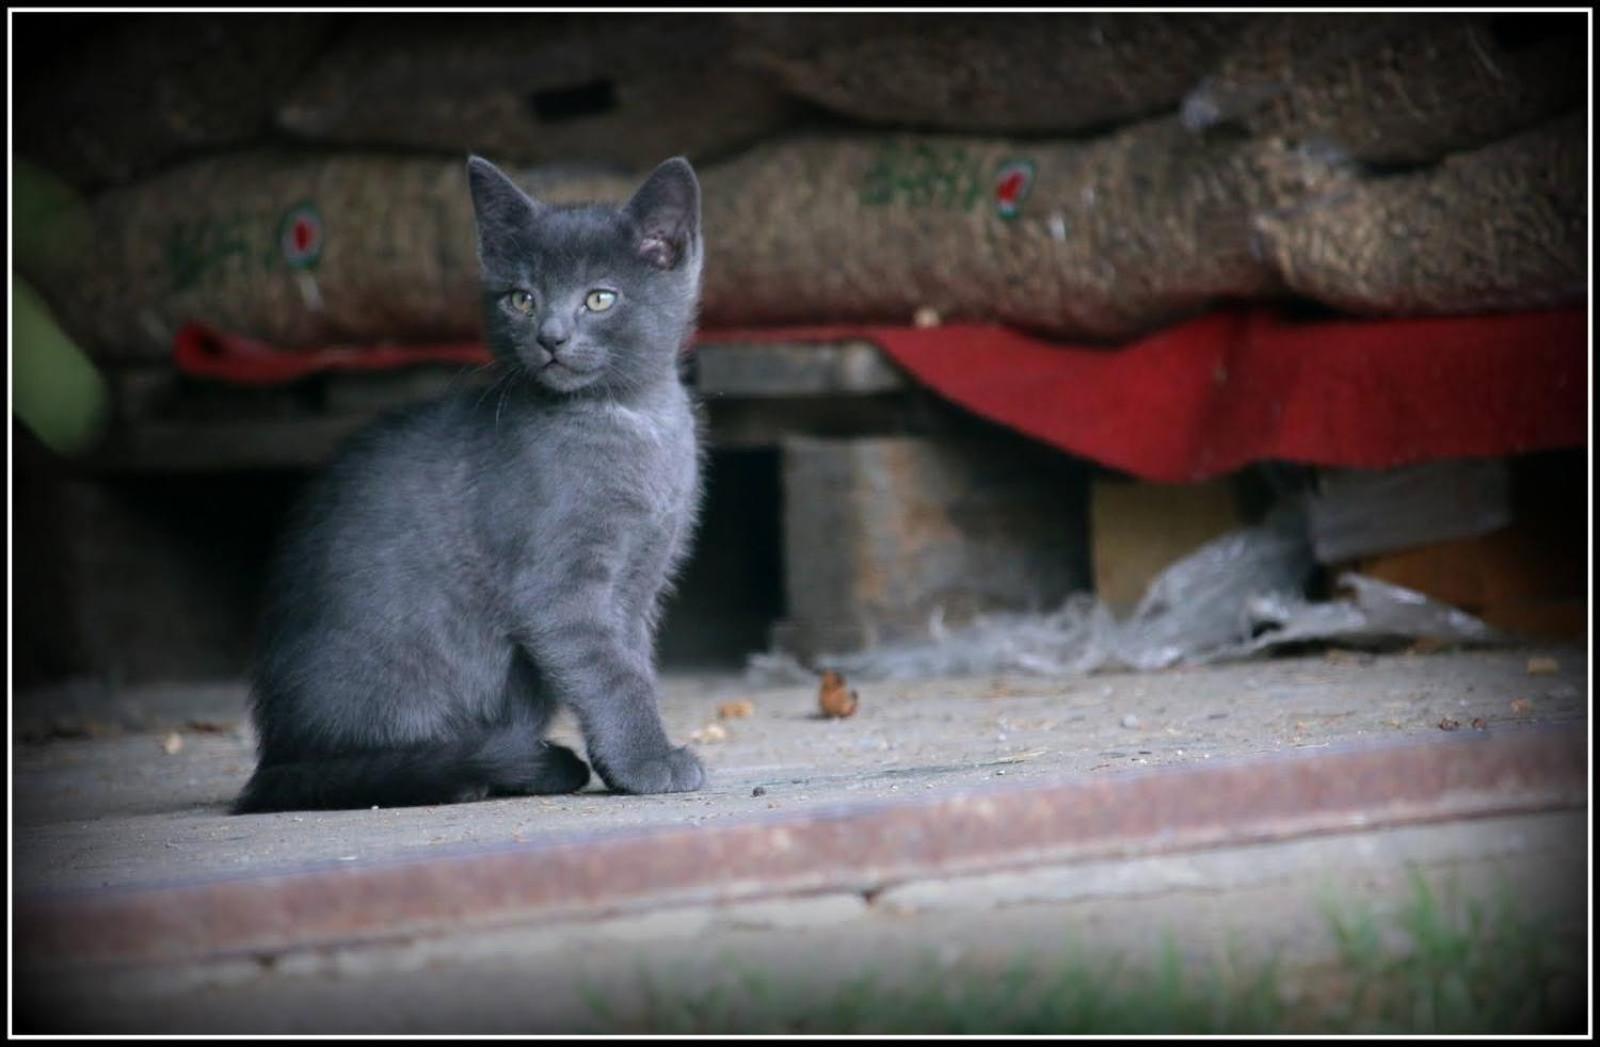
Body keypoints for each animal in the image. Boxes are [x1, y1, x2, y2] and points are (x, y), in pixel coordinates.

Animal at [233, 156, 710, 816]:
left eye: (600, 297)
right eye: (522, 299)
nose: (551, 336)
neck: (633, 420)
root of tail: (275, 757)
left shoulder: (639, 585)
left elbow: (633, 664)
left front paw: (629, 761)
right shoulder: (559, 591)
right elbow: (613, 675)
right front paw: (648, 762)